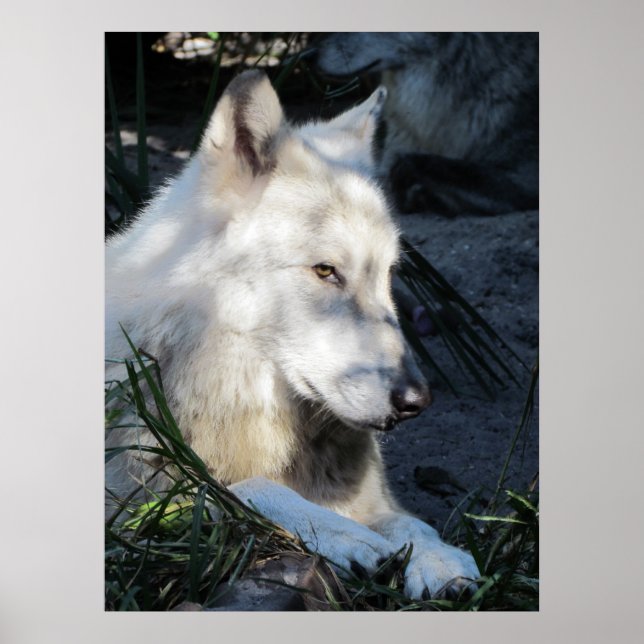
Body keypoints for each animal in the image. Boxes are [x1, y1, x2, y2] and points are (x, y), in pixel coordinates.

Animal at [105, 70, 479, 600]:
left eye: (388, 274)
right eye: (325, 271)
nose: (417, 400)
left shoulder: (376, 499)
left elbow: (412, 523)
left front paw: (441, 558)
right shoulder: (128, 512)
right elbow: (240, 487)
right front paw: (349, 536)